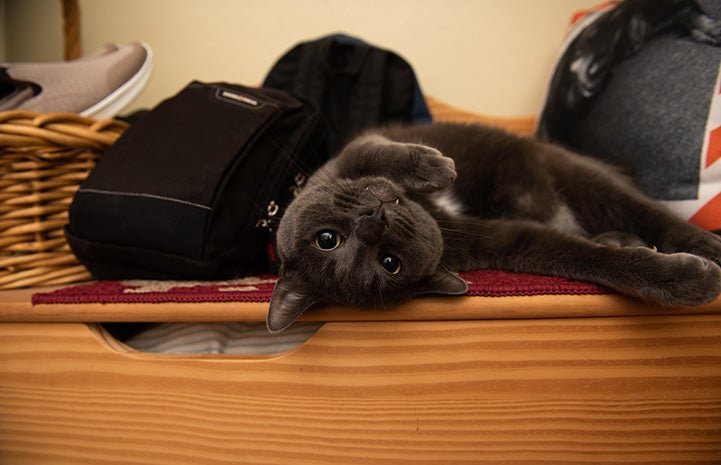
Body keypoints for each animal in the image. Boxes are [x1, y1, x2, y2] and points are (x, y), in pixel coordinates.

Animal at [268, 121, 720, 332]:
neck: (428, 208)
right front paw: (683, 279)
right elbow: (580, 257)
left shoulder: (348, 156)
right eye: (388, 263)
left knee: (649, 213)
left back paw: (706, 245)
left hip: (577, 176)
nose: (372, 223)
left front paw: (434, 166)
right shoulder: (498, 241)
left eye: (327, 239)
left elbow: (375, 152)